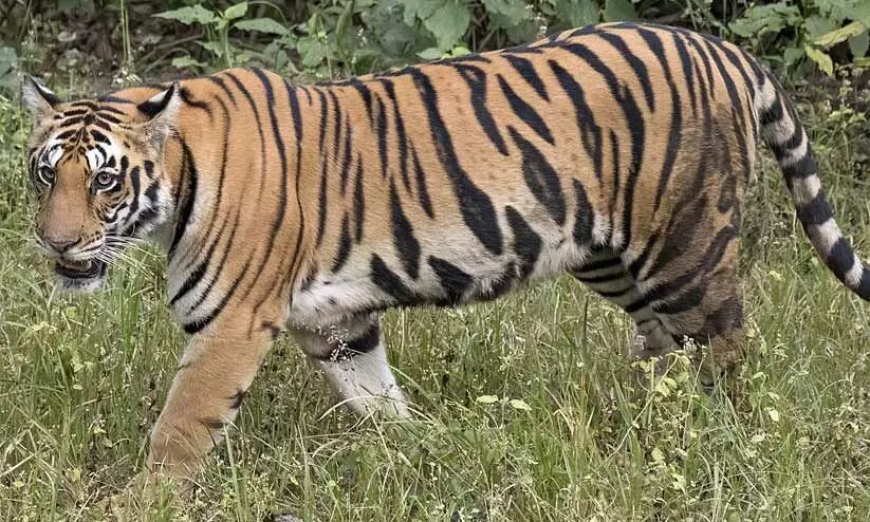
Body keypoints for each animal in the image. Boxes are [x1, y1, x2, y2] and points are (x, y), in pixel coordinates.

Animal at [20, 22, 870, 490]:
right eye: (44, 173)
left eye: (104, 181)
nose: (55, 244)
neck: (180, 182)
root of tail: (723, 50)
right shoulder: (334, 322)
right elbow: (376, 397)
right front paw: (418, 449)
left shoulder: (230, 323)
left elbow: (180, 428)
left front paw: (143, 502)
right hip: (609, 254)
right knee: (666, 345)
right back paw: (646, 421)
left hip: (686, 244)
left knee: (726, 347)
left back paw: (716, 438)